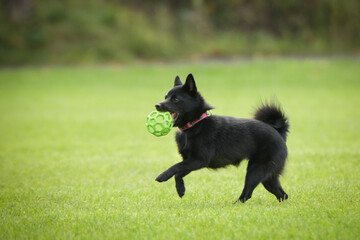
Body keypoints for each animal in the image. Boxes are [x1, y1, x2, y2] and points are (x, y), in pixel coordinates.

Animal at [155, 73, 290, 202]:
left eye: (175, 99)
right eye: (165, 97)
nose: (157, 105)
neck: (195, 124)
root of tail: (278, 133)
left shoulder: (199, 160)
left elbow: (176, 166)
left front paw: (163, 176)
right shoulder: (190, 161)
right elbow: (178, 173)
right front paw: (180, 189)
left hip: (256, 170)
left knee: (247, 193)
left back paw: (235, 205)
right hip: (268, 176)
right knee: (282, 194)